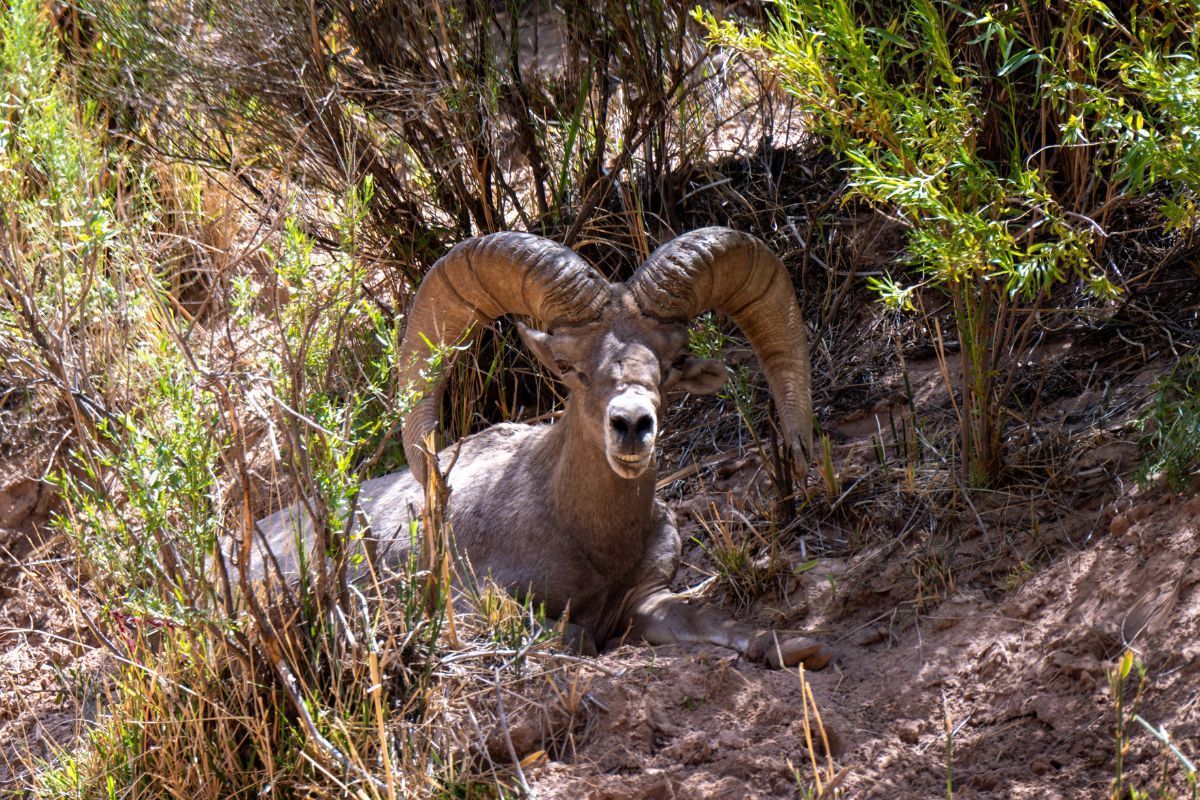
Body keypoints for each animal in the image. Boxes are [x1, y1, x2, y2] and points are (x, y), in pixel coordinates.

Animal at [254, 227, 831, 670]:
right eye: (570, 367)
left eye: (673, 363)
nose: (632, 425)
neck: (587, 536)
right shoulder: (480, 605)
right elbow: (576, 636)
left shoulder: (646, 599)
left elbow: (708, 616)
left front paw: (793, 649)